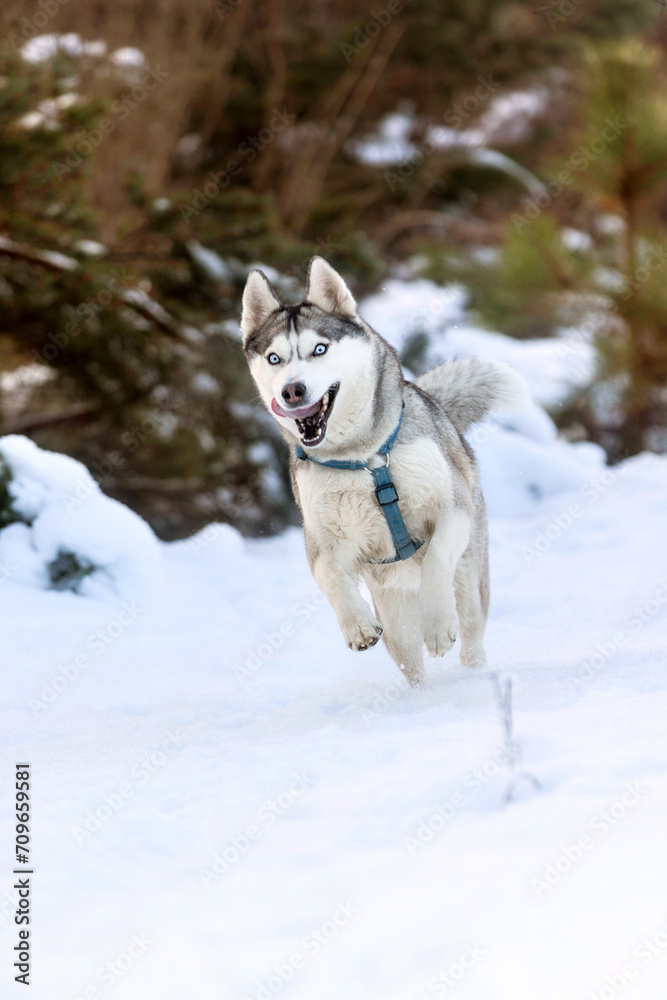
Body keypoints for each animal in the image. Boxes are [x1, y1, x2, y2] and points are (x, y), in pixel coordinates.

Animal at [243, 256, 528, 688]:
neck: (364, 458)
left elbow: (436, 556)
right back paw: (421, 697)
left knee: (471, 634)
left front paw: (437, 625)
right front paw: (357, 626)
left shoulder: (451, 508)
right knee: (410, 661)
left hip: (470, 580)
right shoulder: (321, 539)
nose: (292, 391)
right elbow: (331, 577)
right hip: (394, 612)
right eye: (274, 358)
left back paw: (472, 674)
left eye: (320, 349)